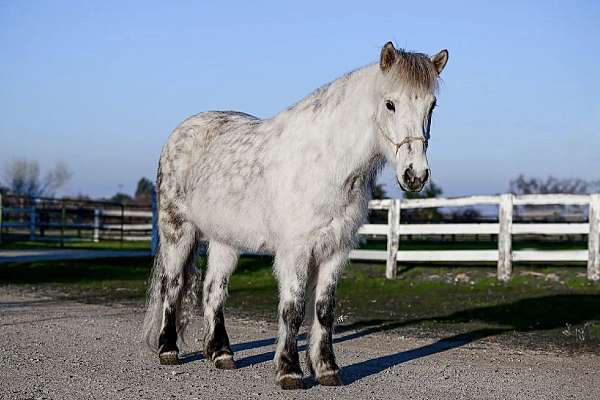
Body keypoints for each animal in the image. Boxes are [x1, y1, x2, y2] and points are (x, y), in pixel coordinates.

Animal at [143, 42, 448, 390]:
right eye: (390, 104)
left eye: (432, 106)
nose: (415, 175)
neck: (326, 162)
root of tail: (180, 132)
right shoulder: (296, 251)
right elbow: (293, 309)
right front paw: (289, 371)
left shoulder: (335, 250)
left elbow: (324, 309)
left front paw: (327, 369)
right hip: (177, 231)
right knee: (172, 286)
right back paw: (168, 349)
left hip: (225, 241)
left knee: (213, 291)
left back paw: (221, 354)